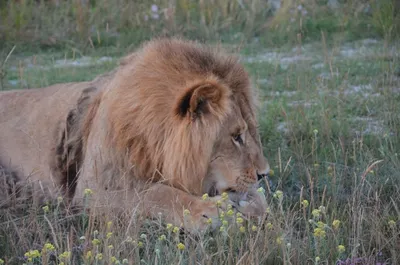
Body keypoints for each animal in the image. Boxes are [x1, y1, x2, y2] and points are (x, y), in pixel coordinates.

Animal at [0, 37, 270, 231]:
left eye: (250, 133)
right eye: (236, 136)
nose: (264, 174)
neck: (151, 136)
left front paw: (251, 204)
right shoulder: (91, 189)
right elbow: (153, 193)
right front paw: (207, 211)